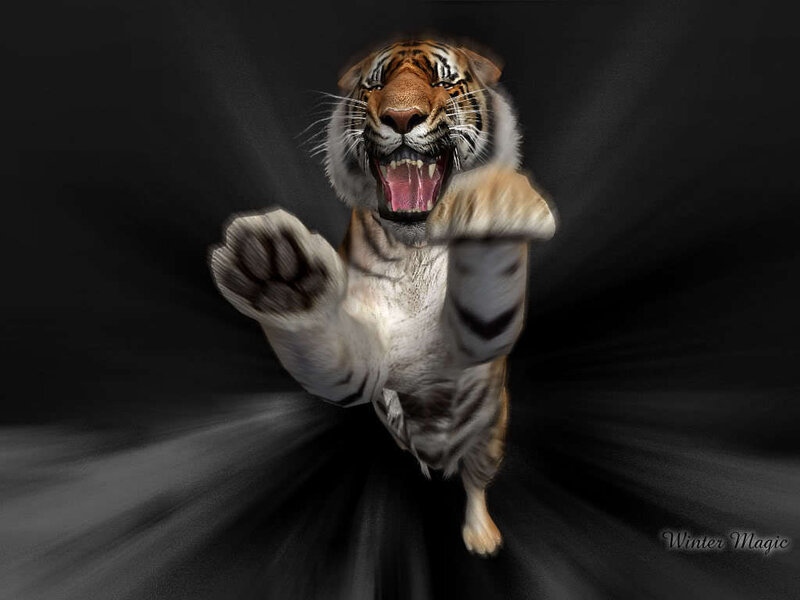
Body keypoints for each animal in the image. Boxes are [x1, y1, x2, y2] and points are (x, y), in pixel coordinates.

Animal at [209, 38, 556, 556]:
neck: (413, 249)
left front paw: (496, 197)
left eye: (441, 81)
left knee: (475, 481)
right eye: (375, 85)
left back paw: (481, 535)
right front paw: (278, 276)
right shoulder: (371, 352)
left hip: (491, 435)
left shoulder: (466, 345)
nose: (401, 117)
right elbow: (330, 354)